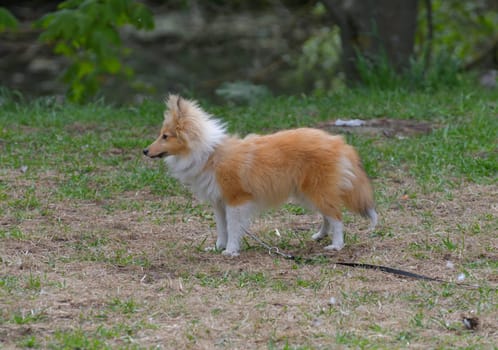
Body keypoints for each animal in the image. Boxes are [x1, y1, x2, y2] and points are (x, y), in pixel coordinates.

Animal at [142, 95, 376, 258]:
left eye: (165, 136)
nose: (145, 151)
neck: (210, 154)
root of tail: (340, 143)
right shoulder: (219, 203)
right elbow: (222, 228)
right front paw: (218, 248)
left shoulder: (235, 200)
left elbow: (233, 228)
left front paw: (231, 251)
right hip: (307, 193)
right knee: (327, 216)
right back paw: (320, 236)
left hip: (317, 190)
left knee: (336, 217)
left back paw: (336, 245)